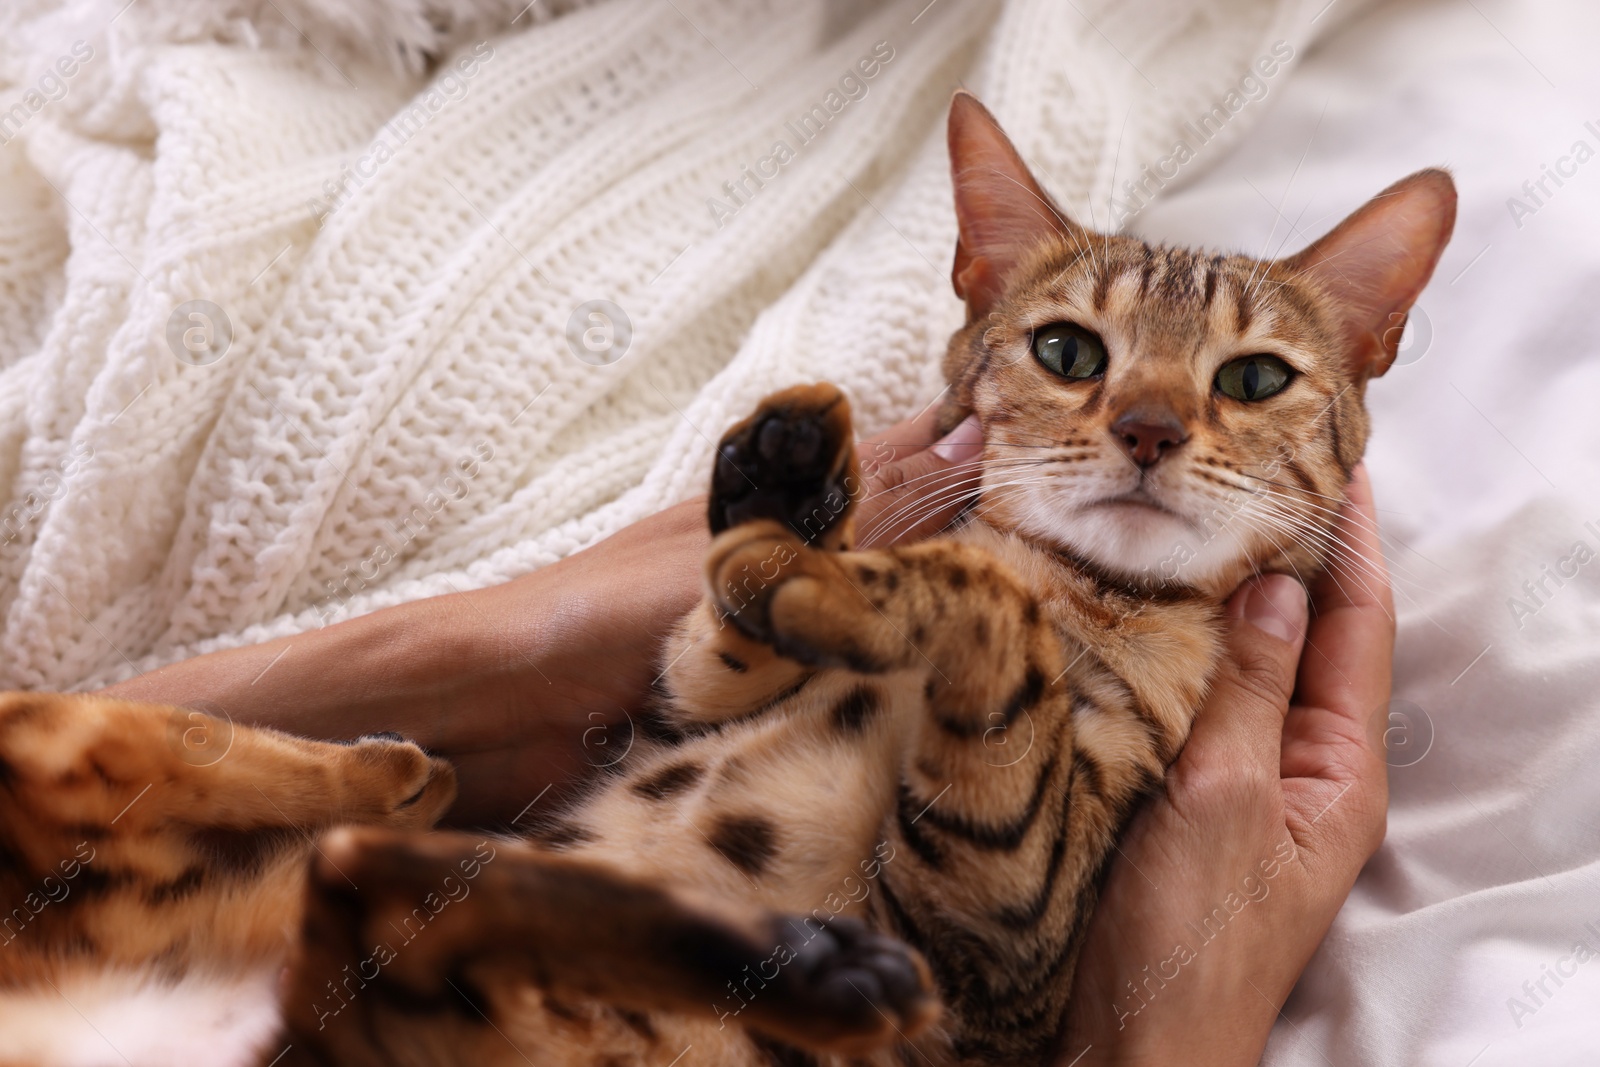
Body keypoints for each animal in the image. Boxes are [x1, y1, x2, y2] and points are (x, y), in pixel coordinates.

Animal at [0, 93, 1452, 1067]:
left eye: (1252, 377)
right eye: (1067, 350)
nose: (1148, 430)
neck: (1086, 587)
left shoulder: (1002, 938)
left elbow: (984, 620)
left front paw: (854, 572)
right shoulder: (695, 708)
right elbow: (720, 650)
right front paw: (784, 497)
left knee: (367, 891)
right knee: (185, 784)